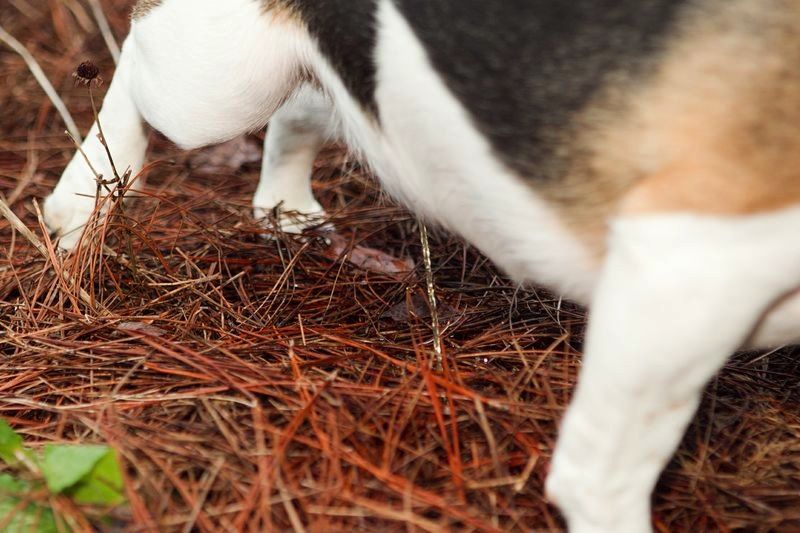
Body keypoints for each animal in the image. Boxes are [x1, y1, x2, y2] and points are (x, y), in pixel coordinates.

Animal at [42, 0, 800, 528]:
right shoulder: (685, 272)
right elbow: (600, 479)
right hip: (216, 85)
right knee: (135, 62)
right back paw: (79, 208)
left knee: (300, 113)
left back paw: (291, 214)